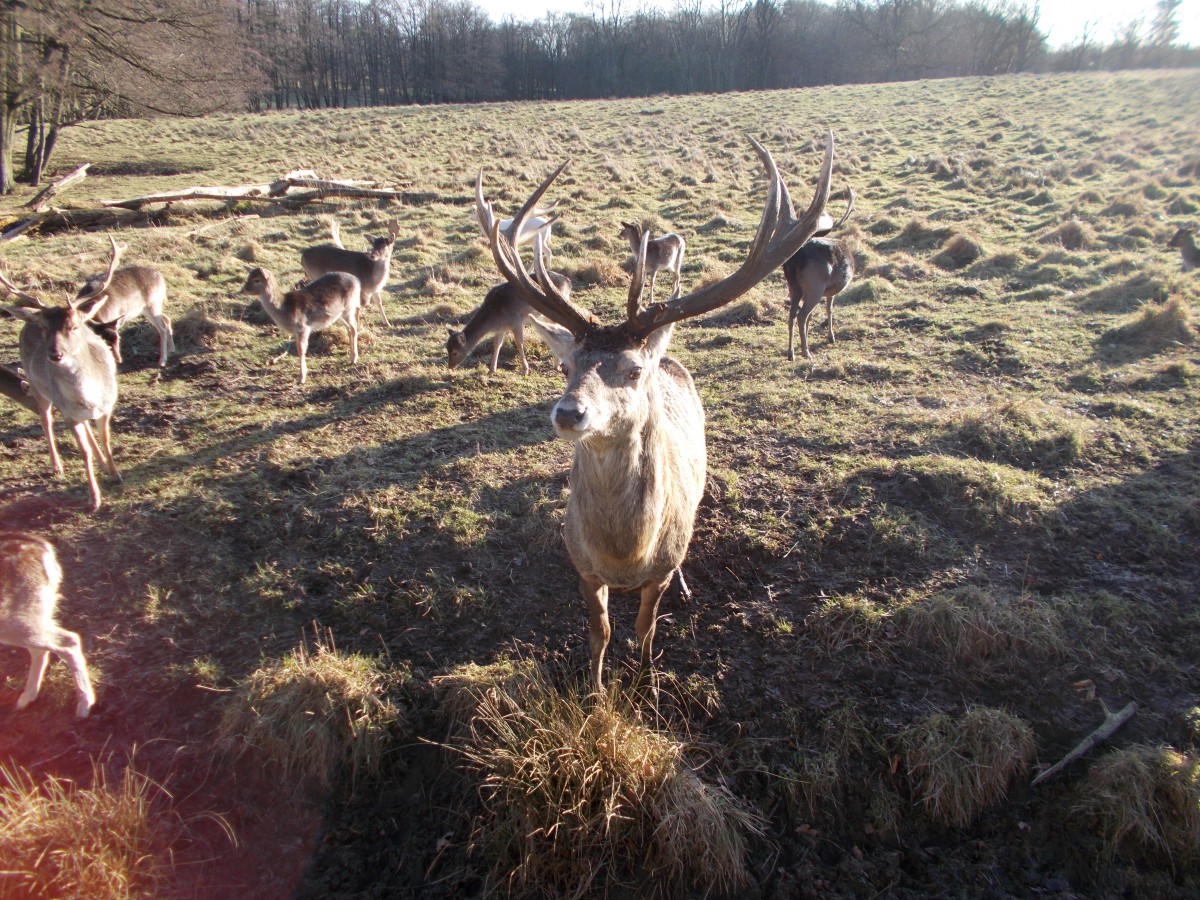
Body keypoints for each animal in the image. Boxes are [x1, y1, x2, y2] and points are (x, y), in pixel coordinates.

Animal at [0, 236, 124, 511]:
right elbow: (83, 451)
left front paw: (115, 474)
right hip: (39, 389)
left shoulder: (107, 405)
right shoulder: (67, 411)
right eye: (45, 328)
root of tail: (26, 321)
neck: (90, 394)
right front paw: (94, 498)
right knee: (46, 420)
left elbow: (105, 439)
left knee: (85, 427)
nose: (55, 355)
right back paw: (57, 466)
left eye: (74, 326)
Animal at [0, 535, 94, 720]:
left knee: (68, 640)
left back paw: (84, 704)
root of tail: (44, 548)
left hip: (16, 619)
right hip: (33, 615)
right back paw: (25, 699)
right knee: (41, 648)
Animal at [475, 130, 835, 691]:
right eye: (567, 366)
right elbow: (599, 631)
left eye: (632, 370)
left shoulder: (658, 569)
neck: (625, 555)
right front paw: (596, 688)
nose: (569, 413)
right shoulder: (580, 565)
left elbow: (646, 627)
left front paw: (646, 680)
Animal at [782, 187, 859, 362]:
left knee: (792, 314)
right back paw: (806, 352)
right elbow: (829, 309)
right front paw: (831, 337)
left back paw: (791, 353)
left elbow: (812, 316)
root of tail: (796, 260)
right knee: (802, 315)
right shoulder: (831, 291)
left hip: (794, 286)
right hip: (815, 285)